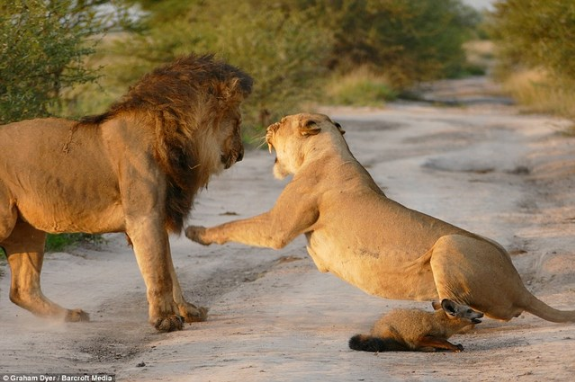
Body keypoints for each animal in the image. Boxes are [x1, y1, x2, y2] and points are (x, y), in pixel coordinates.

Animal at [0, 53, 252, 332]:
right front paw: (165, 319)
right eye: (237, 122)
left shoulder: (158, 214)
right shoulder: (144, 216)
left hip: (26, 228)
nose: (241, 154)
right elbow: (160, 272)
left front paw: (188, 310)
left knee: (22, 290)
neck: (173, 136)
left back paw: (70, 315)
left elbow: (169, 269)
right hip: (6, 221)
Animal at [188, 112, 575, 322]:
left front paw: (195, 232)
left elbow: (234, 224)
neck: (328, 149)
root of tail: (521, 285)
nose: (267, 126)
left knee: (469, 304)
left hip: (450, 242)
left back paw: (450, 310)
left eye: (281, 123)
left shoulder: (277, 227)